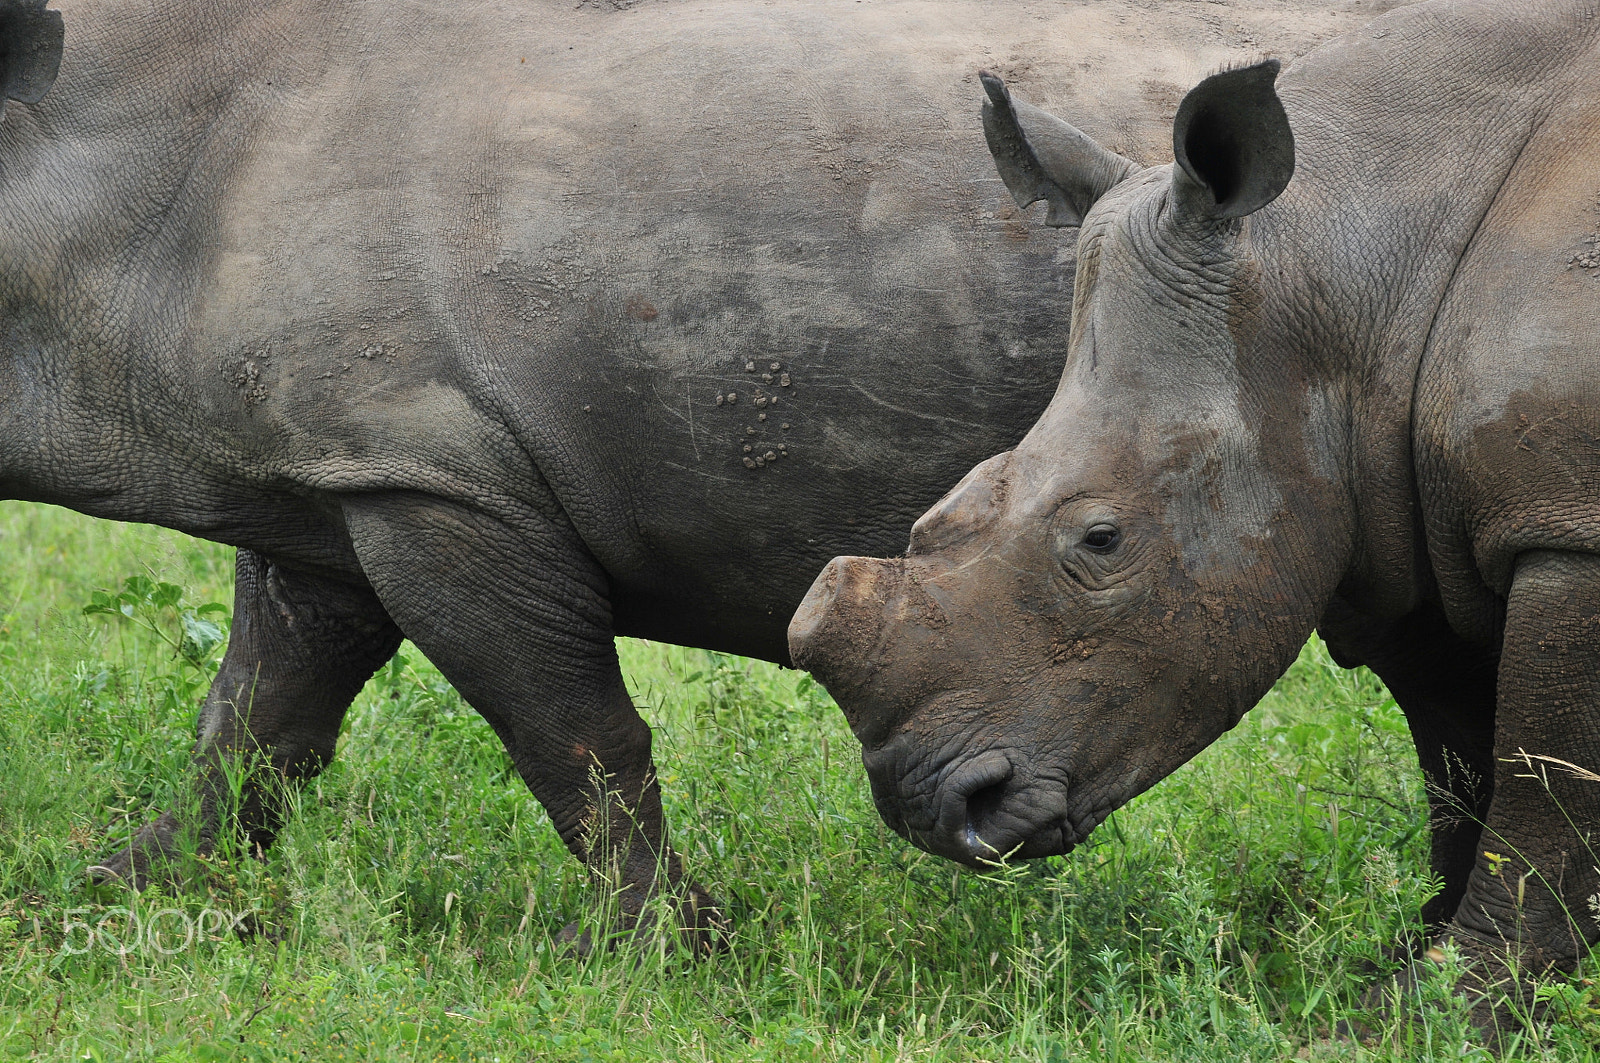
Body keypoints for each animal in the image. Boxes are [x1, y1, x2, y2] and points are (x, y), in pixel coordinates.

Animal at [0, 0, 1358, 940]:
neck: (87, 176)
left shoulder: (438, 474)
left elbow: (569, 731)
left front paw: (668, 953)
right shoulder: (344, 470)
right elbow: (257, 720)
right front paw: (109, 896)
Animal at [790, 0, 1599, 1023]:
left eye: (1102, 540)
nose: (925, 803)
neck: (1352, 265)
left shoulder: (1567, 525)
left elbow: (1542, 780)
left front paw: (1453, 1006)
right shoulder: (1399, 511)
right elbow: (1460, 761)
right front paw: (1406, 970)